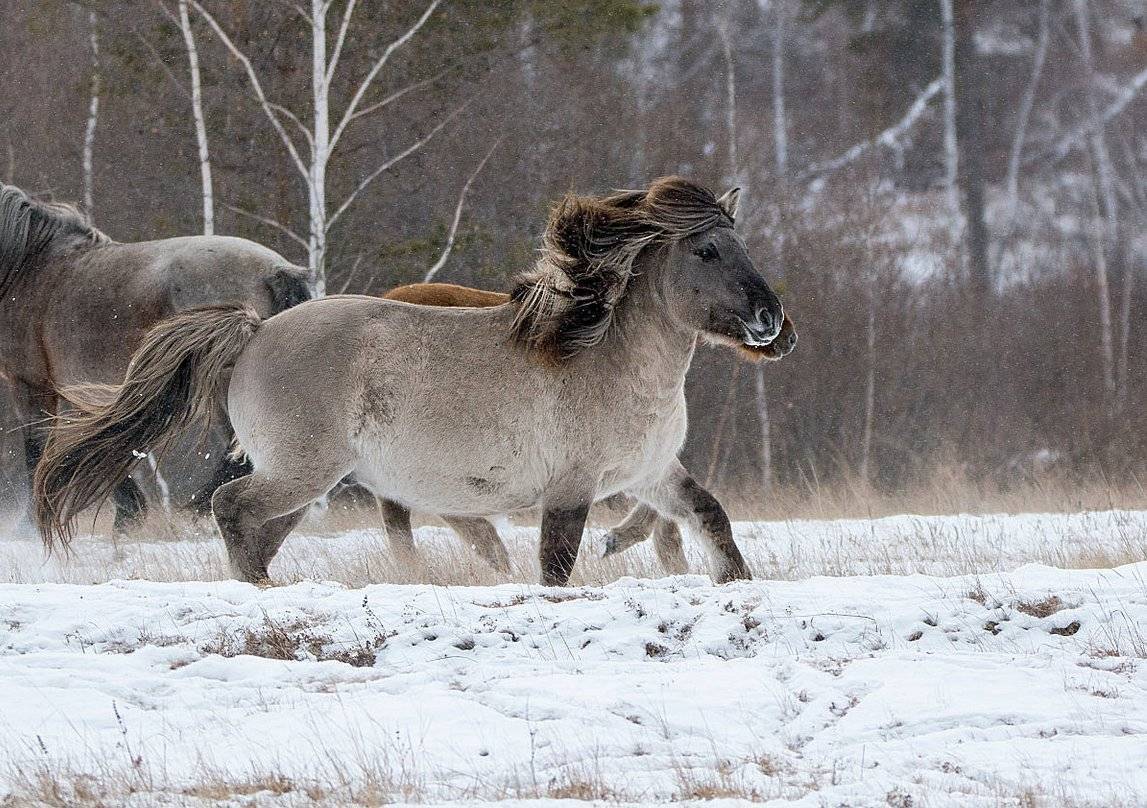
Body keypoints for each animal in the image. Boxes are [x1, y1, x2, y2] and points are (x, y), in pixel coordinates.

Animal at [0, 184, 309, 537]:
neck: (33, 268)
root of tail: (274, 271)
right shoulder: (76, 387)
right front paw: (128, 514)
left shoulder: (30, 385)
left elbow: (38, 449)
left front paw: (28, 529)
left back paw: (199, 514)